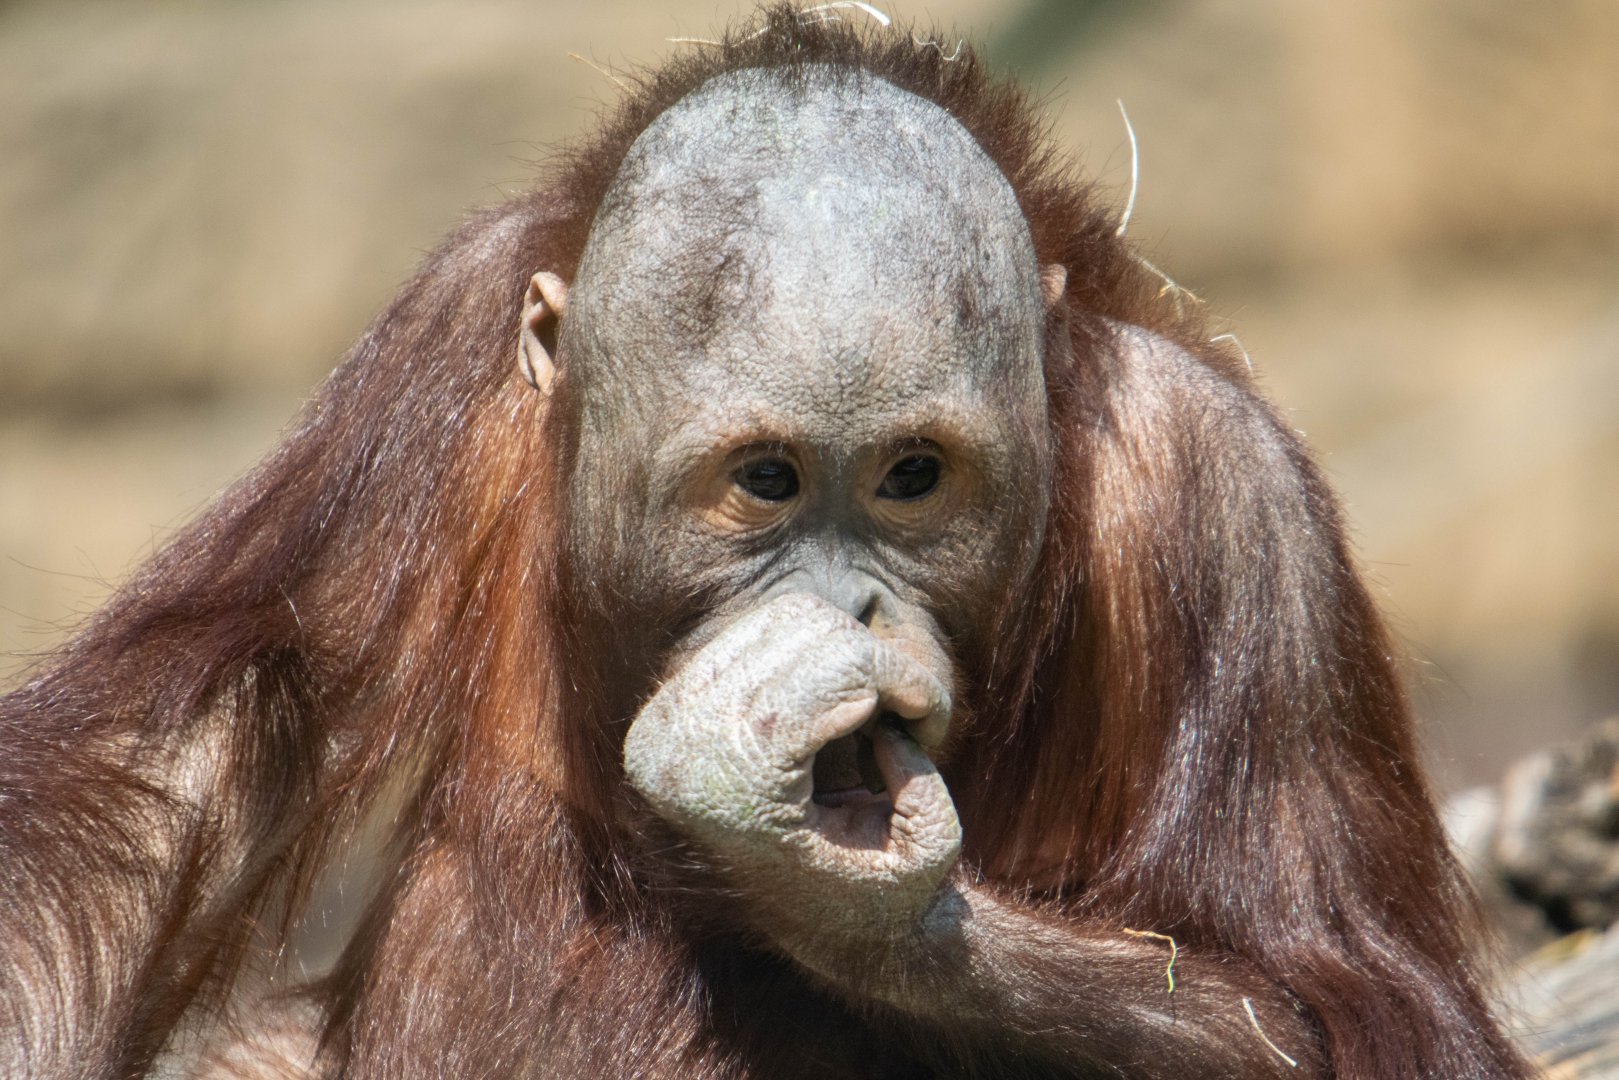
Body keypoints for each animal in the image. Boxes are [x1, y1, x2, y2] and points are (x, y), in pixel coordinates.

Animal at [0, 7, 1529, 1078]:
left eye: (911, 479)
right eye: (765, 481)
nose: (849, 613)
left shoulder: (1239, 515)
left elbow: (1343, 1008)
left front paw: (835, 890)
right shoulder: (435, 361)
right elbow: (169, 766)